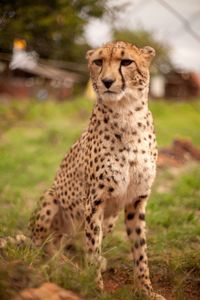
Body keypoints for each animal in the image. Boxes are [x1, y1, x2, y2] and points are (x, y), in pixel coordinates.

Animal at [3, 41, 166, 298]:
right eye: (98, 62)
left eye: (126, 62)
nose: (107, 81)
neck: (127, 113)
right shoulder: (95, 202)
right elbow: (92, 247)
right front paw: (95, 288)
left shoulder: (136, 201)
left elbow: (140, 252)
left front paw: (146, 290)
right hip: (50, 200)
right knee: (43, 249)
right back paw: (61, 266)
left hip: (109, 218)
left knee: (68, 247)